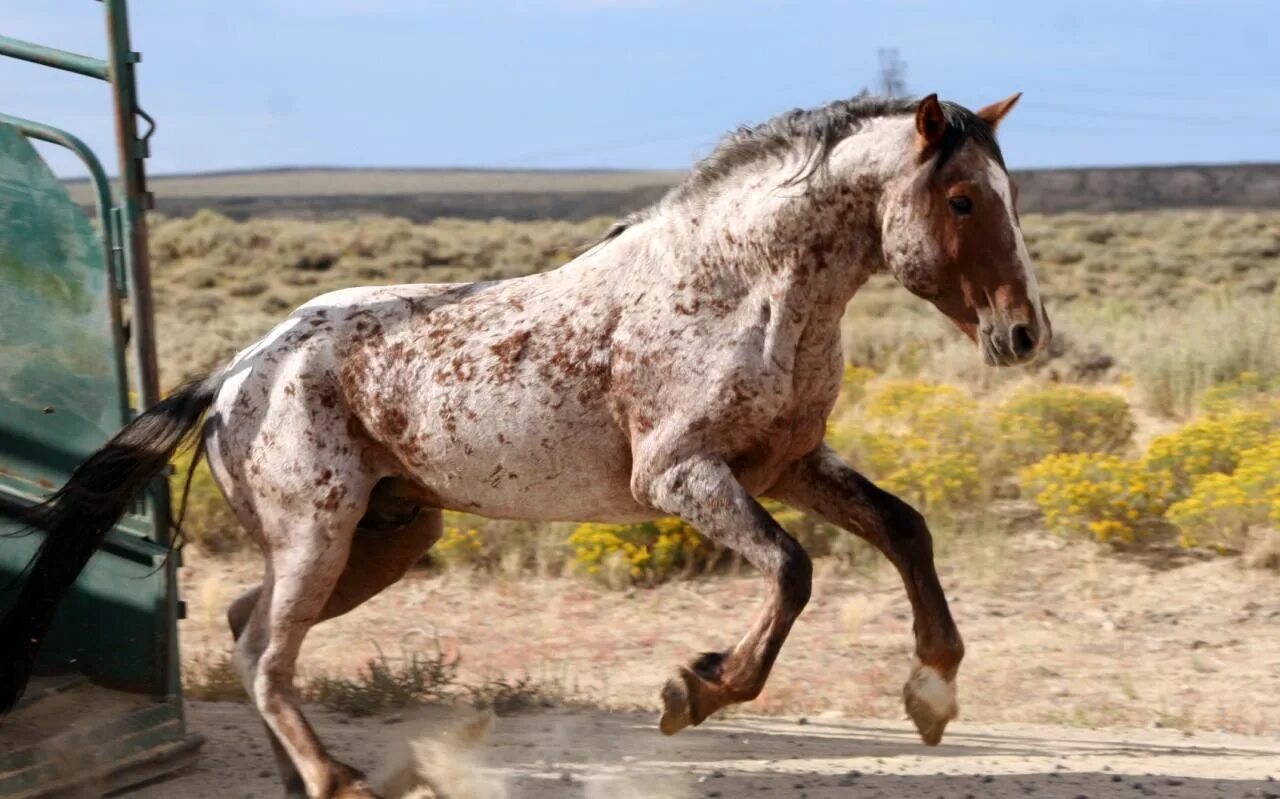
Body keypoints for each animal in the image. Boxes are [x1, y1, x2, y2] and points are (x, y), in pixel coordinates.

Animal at [0, 92, 1049, 793]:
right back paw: (337, 780)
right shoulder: (681, 476)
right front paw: (695, 689)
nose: (1024, 334)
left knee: (247, 628)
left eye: (1011, 195)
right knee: (263, 650)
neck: (745, 290)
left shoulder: (790, 466)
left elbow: (905, 528)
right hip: (318, 534)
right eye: (962, 200)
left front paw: (932, 693)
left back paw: (307, 774)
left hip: (385, 537)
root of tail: (238, 372)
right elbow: (792, 572)